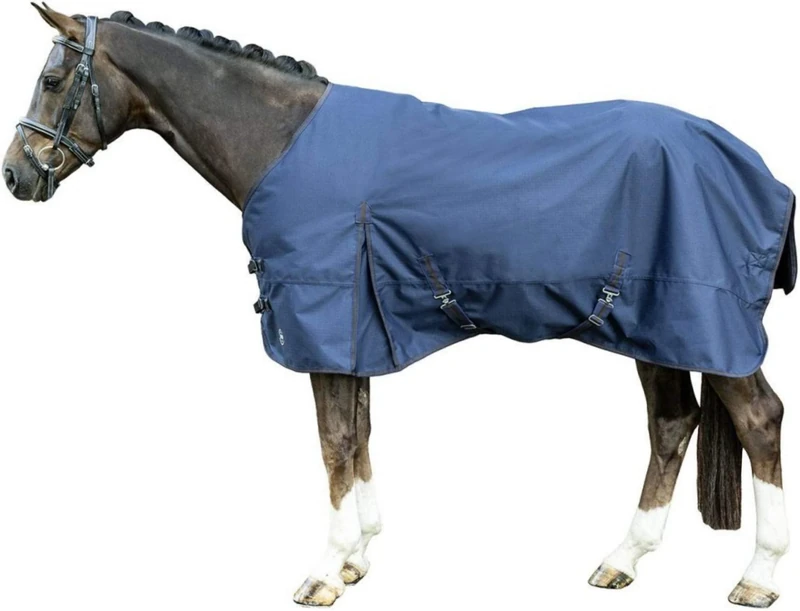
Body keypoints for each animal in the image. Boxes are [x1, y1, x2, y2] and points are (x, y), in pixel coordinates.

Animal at [3, 6, 794, 608]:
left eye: (51, 80)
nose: (16, 174)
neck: (282, 141)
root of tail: (751, 163)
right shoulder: (355, 332)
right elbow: (359, 435)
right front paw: (358, 556)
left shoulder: (323, 323)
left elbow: (333, 442)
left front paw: (324, 572)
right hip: (654, 330)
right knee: (672, 423)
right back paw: (623, 559)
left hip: (706, 327)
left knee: (759, 420)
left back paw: (756, 578)